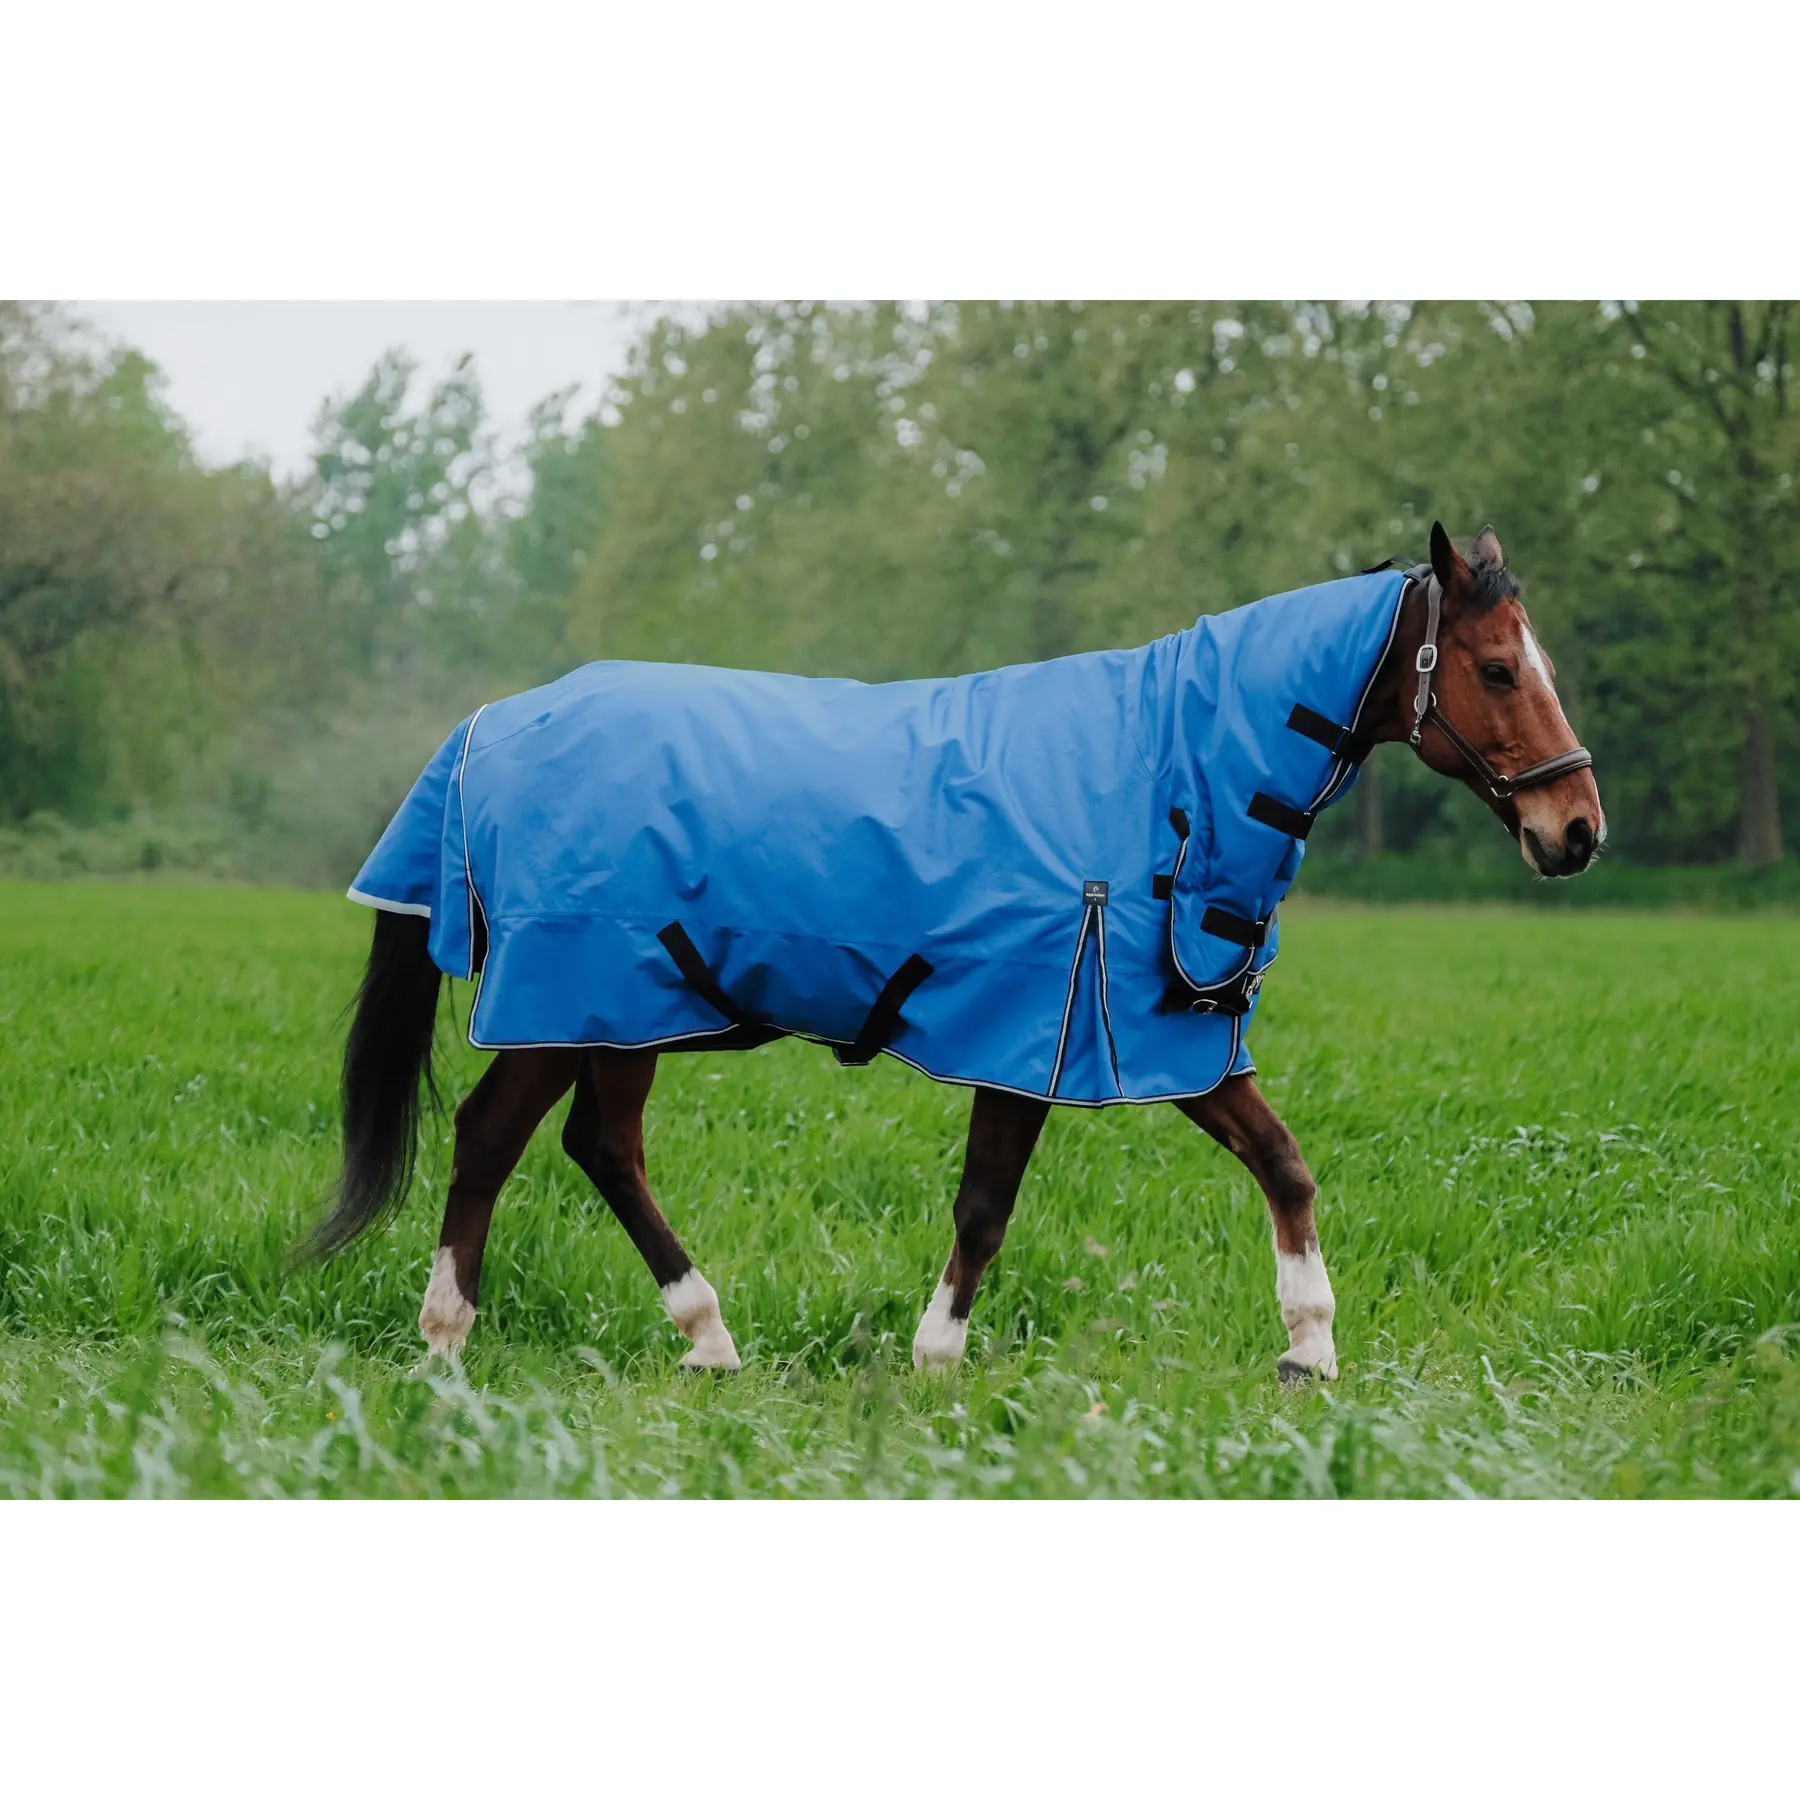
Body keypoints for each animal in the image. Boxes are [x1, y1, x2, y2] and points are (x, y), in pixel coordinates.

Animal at [309, 522, 1602, 1382]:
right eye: (1497, 668)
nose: (1577, 829)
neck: (1168, 774)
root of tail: (489, 725)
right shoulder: (1041, 1035)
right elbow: (985, 1207)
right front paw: (937, 1361)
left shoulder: (1171, 1042)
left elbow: (1285, 1167)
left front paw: (1310, 1352)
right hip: (584, 999)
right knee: (503, 1140)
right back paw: (457, 1341)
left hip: (622, 1013)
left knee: (592, 1146)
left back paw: (701, 1342)